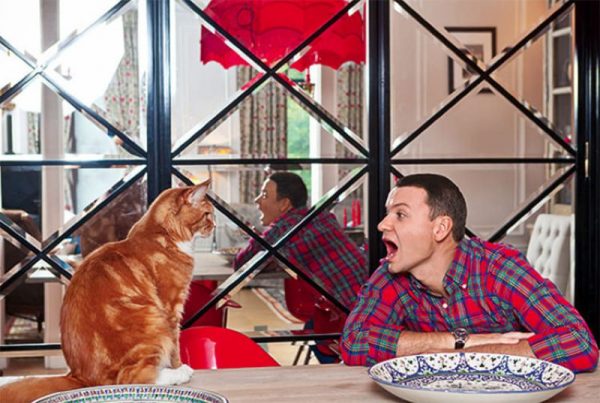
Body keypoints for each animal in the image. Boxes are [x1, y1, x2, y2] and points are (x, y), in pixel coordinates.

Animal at [0, 181, 216, 402]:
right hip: (154, 322)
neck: (160, 235)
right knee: (135, 378)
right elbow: (175, 347)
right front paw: (179, 367)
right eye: (207, 214)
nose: (215, 225)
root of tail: (78, 376)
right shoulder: (172, 308)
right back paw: (177, 375)